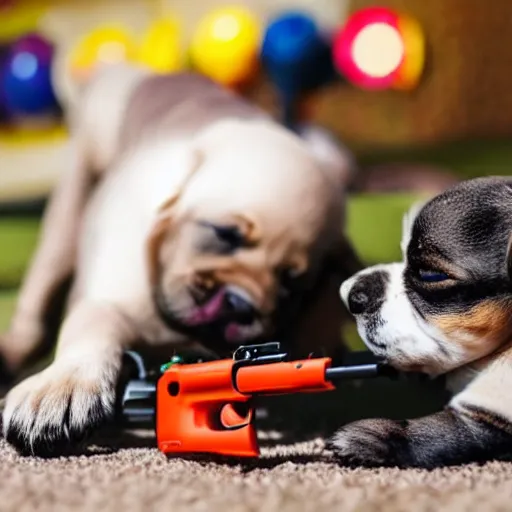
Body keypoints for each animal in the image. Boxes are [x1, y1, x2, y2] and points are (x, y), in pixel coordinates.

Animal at [1, 65, 360, 456]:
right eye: (225, 234)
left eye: (290, 284)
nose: (240, 306)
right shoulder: (112, 288)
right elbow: (90, 327)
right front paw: (64, 384)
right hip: (72, 201)